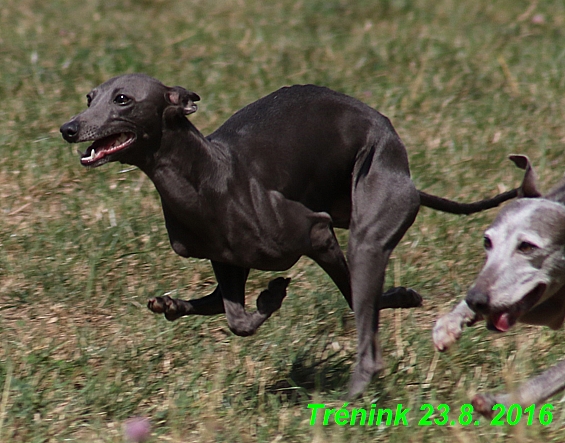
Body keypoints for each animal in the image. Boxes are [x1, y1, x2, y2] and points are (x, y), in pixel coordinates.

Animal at [60, 73, 516, 398]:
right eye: (89, 98)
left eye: (123, 99)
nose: (68, 128)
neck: (206, 173)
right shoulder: (225, 258)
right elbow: (238, 320)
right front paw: (265, 299)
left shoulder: (316, 232)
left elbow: (344, 296)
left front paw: (273, 296)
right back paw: (173, 304)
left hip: (364, 230)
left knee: (361, 297)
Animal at [432, 155, 564, 416]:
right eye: (487, 241)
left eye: (527, 246)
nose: (476, 300)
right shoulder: (549, 309)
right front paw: (450, 323)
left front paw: (504, 402)